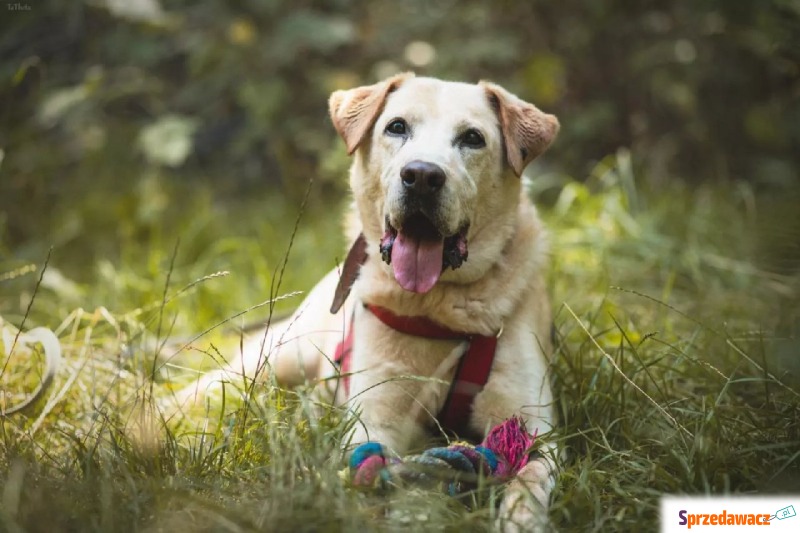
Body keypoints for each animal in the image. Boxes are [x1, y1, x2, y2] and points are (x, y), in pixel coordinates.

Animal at [179, 72, 560, 528]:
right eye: (396, 127)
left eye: (472, 138)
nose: (422, 176)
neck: (439, 308)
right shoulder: (375, 419)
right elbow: (386, 471)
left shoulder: (533, 423)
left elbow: (530, 477)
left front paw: (520, 519)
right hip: (270, 361)